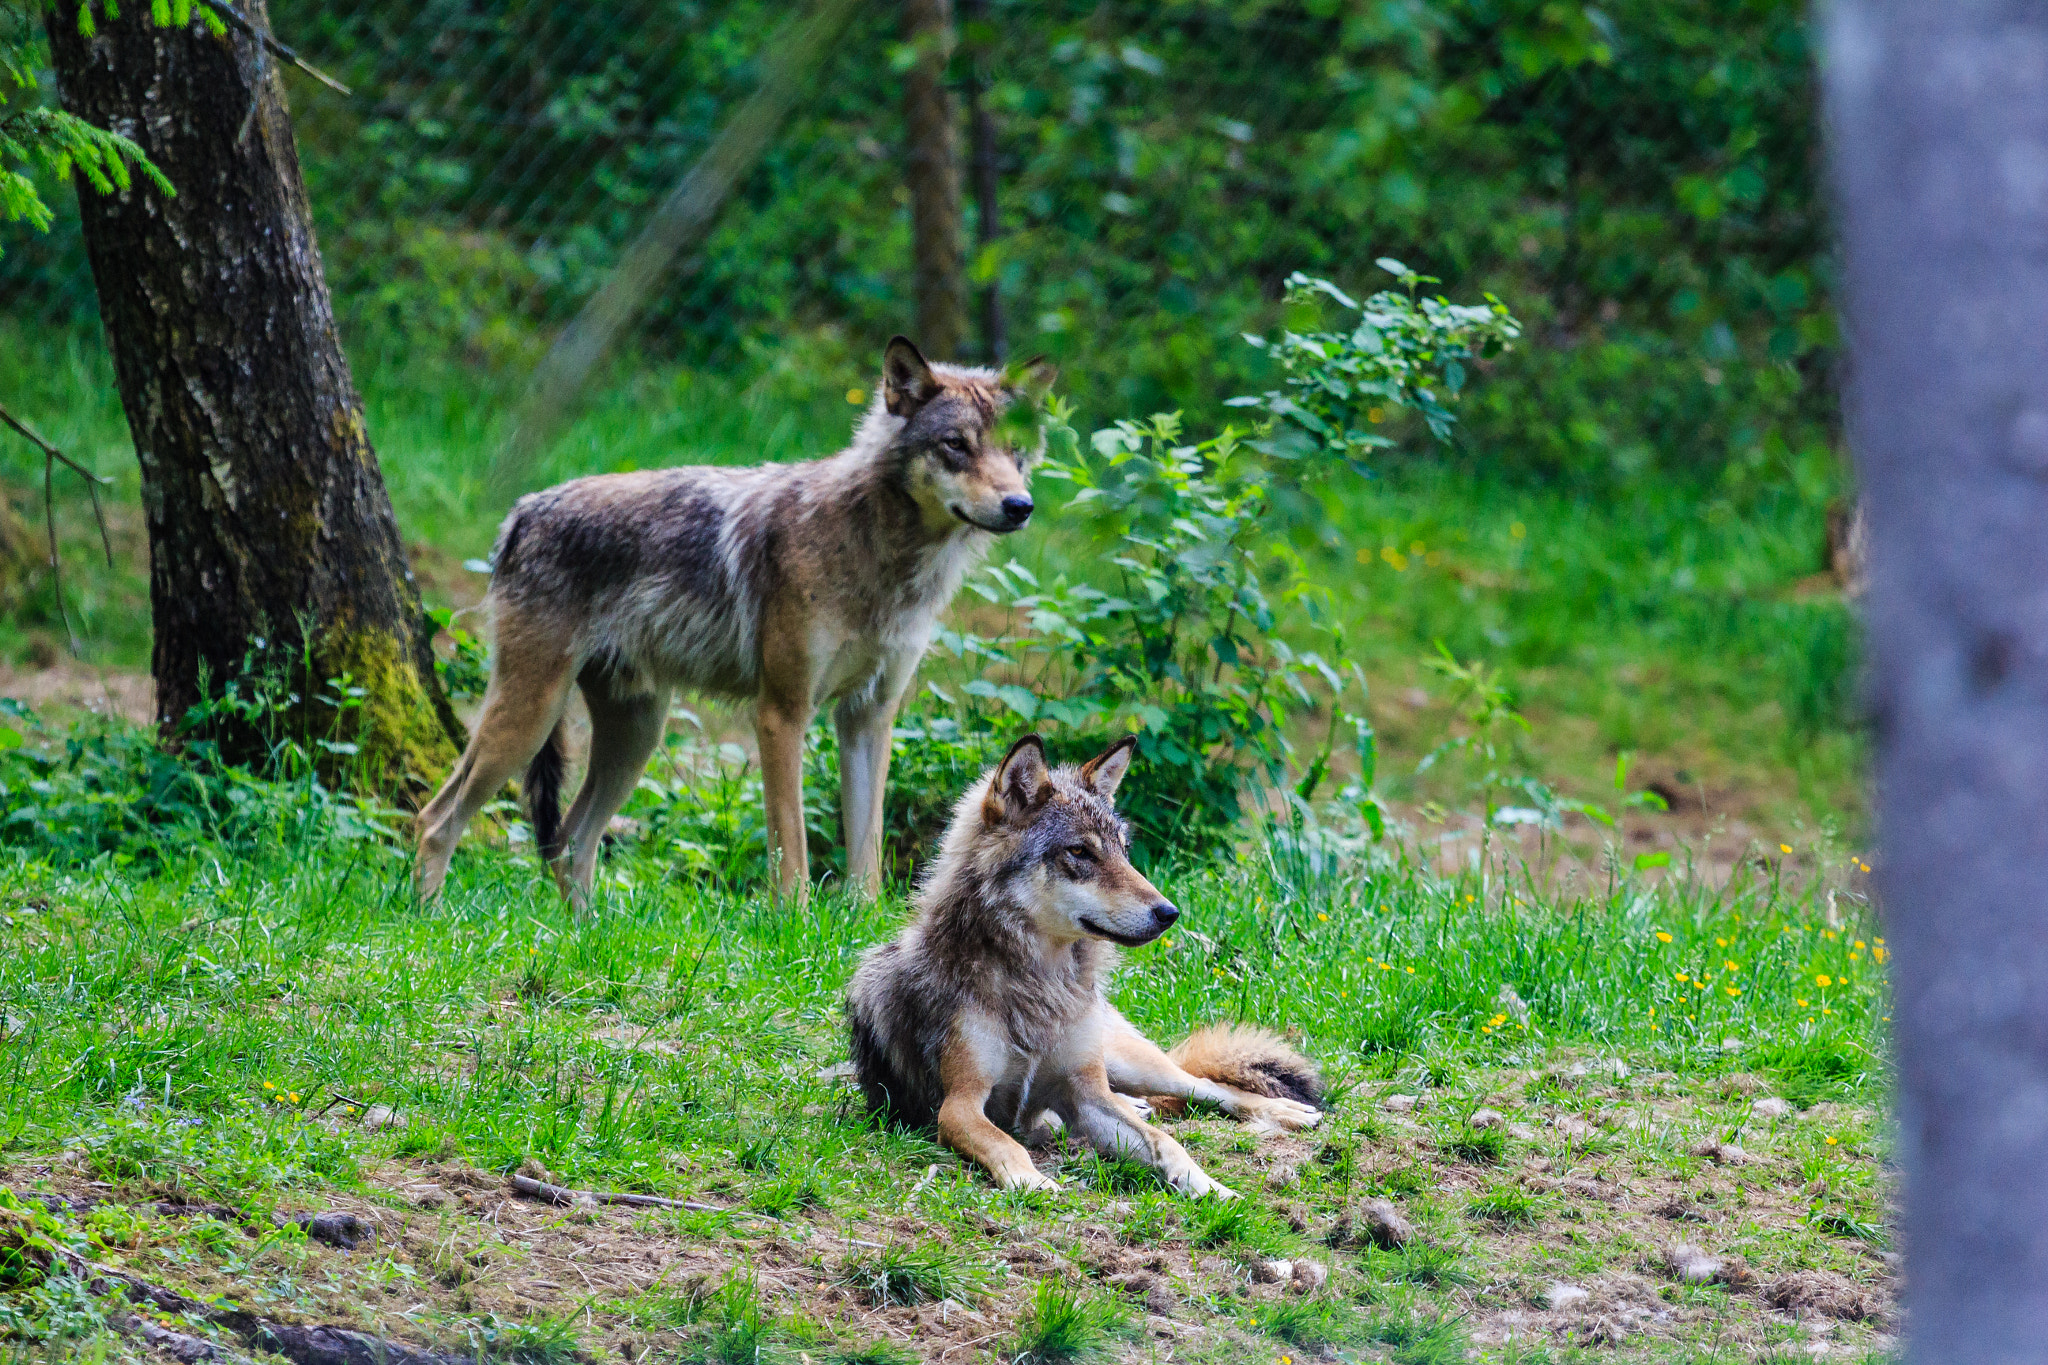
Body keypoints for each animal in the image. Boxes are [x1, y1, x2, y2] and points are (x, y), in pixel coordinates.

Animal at [415, 337, 1054, 903]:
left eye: (1015, 452)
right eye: (955, 445)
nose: (1020, 506)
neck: (883, 559)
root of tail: (524, 510)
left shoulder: (868, 718)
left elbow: (866, 859)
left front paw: (868, 931)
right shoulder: (781, 714)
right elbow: (791, 851)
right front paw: (793, 925)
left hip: (636, 733)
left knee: (571, 839)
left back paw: (585, 937)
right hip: (531, 715)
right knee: (436, 819)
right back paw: (432, 919)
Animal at [844, 734, 1322, 1198]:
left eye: (1124, 851)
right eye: (1080, 852)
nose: (1170, 913)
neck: (1042, 984)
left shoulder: (1084, 1097)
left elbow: (1167, 1141)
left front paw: (1208, 1185)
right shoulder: (959, 1105)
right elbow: (1007, 1142)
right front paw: (1031, 1182)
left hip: (1132, 1063)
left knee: (1206, 1086)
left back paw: (1286, 1110)